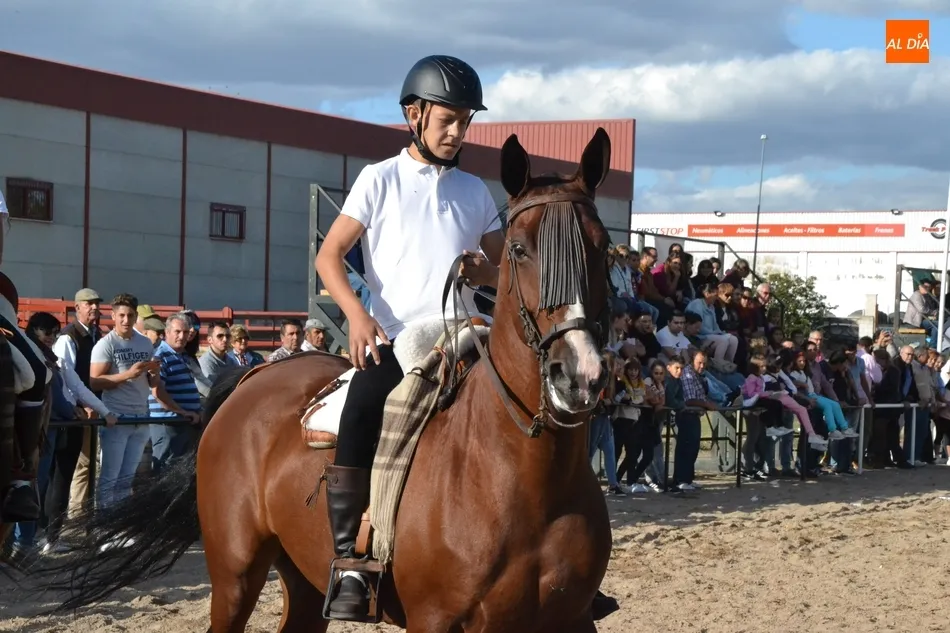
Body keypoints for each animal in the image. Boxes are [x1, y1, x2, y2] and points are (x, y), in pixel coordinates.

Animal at [33, 128, 615, 632]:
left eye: (602, 247)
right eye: (519, 249)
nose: (578, 376)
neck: (519, 473)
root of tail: (256, 376)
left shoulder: (571, 619)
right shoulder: (436, 620)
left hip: (304, 576)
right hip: (236, 574)